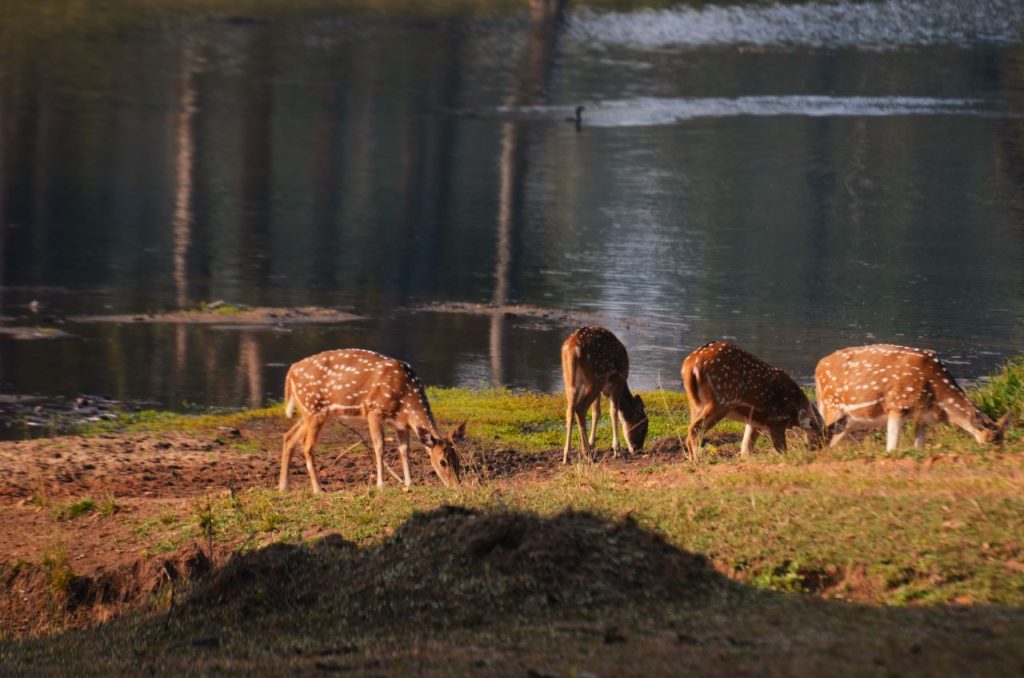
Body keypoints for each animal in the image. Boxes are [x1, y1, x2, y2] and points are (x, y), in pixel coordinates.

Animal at [284, 350, 468, 493]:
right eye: (442, 462)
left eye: (458, 459)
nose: (456, 486)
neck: (407, 399)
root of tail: (291, 371)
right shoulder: (375, 410)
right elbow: (379, 447)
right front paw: (381, 484)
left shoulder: (401, 423)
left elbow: (404, 450)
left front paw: (409, 483)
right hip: (314, 409)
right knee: (306, 446)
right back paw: (318, 489)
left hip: (309, 412)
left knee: (289, 437)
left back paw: (283, 487)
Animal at [561, 327, 647, 464]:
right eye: (643, 427)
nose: (638, 450)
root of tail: (573, 348)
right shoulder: (617, 381)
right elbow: (614, 411)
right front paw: (617, 450)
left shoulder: (602, 391)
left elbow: (596, 413)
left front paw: (592, 444)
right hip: (597, 377)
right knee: (580, 408)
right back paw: (587, 454)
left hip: (569, 379)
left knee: (570, 410)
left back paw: (568, 456)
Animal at [679, 346, 823, 462]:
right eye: (819, 432)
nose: (819, 447)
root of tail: (691, 364)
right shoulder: (776, 420)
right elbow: (781, 448)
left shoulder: (755, 421)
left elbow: (746, 446)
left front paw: (746, 459)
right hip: (721, 400)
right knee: (695, 428)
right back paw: (698, 459)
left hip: (695, 403)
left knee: (690, 429)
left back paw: (691, 459)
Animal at [815, 346, 1007, 450]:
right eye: (989, 440)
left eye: (1002, 440)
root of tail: (818, 367)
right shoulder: (897, 404)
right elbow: (892, 447)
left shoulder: (922, 416)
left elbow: (919, 445)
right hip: (831, 405)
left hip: (846, 419)